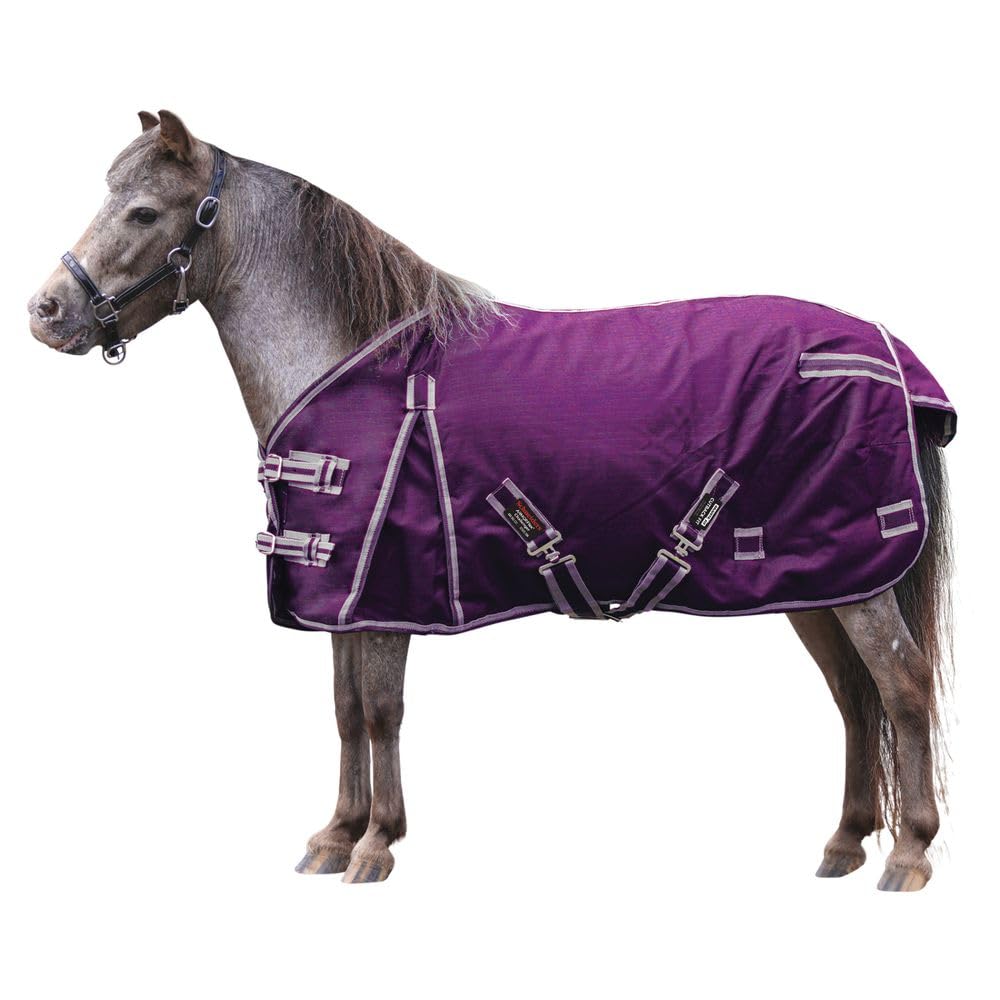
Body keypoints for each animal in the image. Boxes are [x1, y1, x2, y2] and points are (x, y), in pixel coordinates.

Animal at [27, 110, 954, 890]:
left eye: (143, 212)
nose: (46, 312)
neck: (355, 361)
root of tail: (891, 357)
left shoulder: (388, 587)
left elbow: (381, 709)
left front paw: (376, 845)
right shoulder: (343, 594)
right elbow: (345, 709)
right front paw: (335, 835)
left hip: (856, 582)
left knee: (903, 685)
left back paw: (907, 853)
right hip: (815, 583)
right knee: (854, 697)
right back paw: (844, 841)